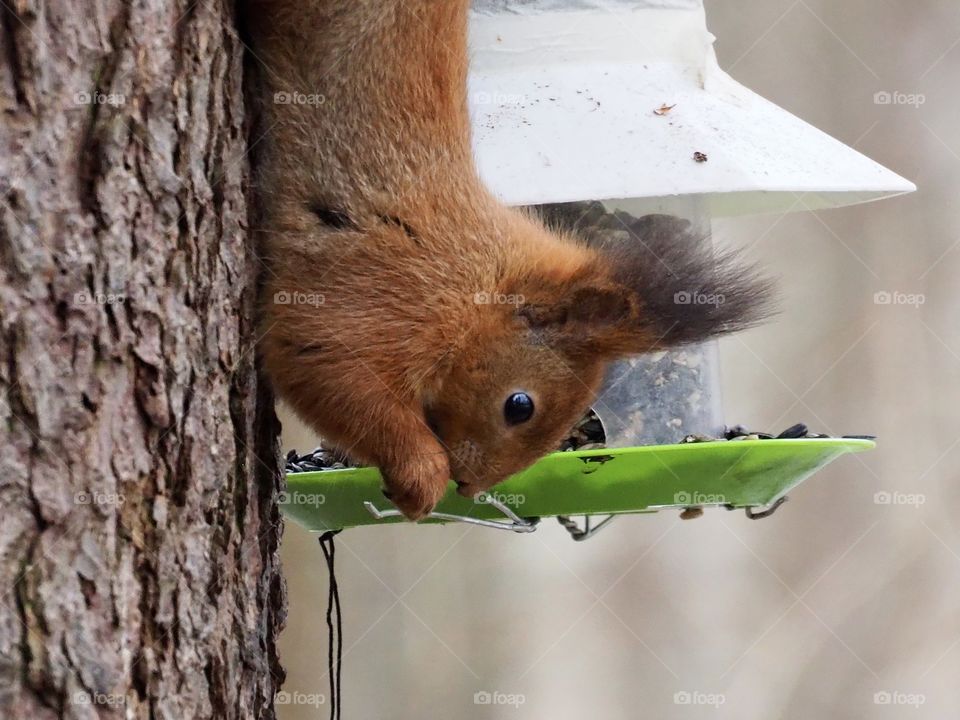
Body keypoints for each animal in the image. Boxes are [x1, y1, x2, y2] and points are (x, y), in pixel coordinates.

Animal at [243, 0, 773, 521]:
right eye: (519, 406)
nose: (469, 486)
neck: (475, 287)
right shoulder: (377, 302)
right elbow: (332, 373)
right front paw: (421, 477)